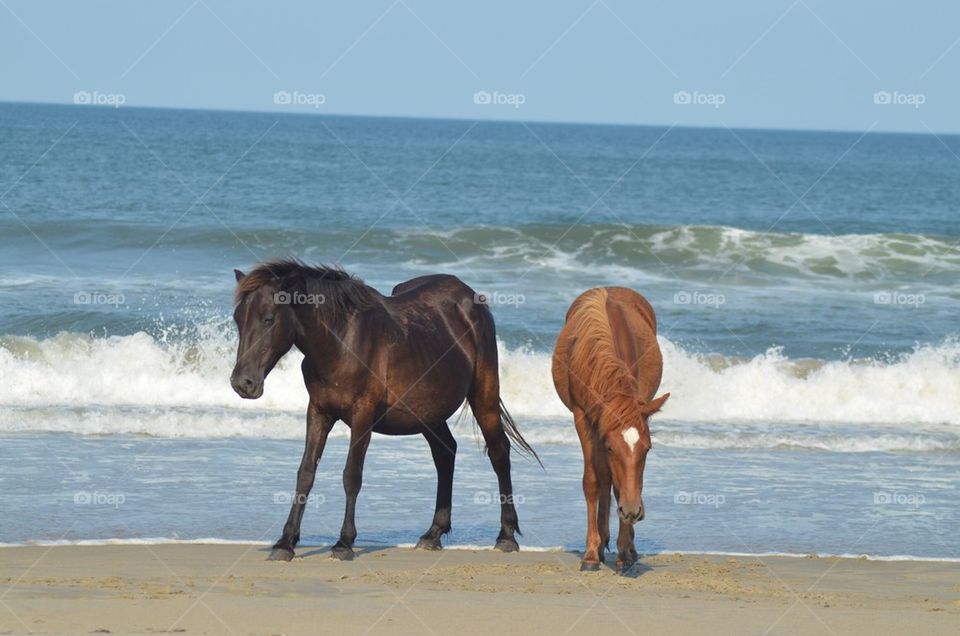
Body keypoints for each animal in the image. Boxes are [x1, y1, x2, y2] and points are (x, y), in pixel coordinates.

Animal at [229, 260, 536, 560]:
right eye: (237, 319)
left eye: (269, 319)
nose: (243, 383)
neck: (341, 342)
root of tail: (470, 297)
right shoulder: (318, 412)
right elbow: (305, 473)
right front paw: (286, 542)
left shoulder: (362, 415)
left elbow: (352, 475)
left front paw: (344, 542)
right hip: (428, 413)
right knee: (445, 453)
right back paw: (433, 533)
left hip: (483, 396)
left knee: (498, 452)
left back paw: (506, 535)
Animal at [552, 288, 672, 572]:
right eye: (611, 447)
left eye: (648, 449)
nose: (633, 511)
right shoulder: (583, 418)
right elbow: (593, 481)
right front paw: (591, 554)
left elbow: (622, 485)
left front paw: (625, 551)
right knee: (603, 476)